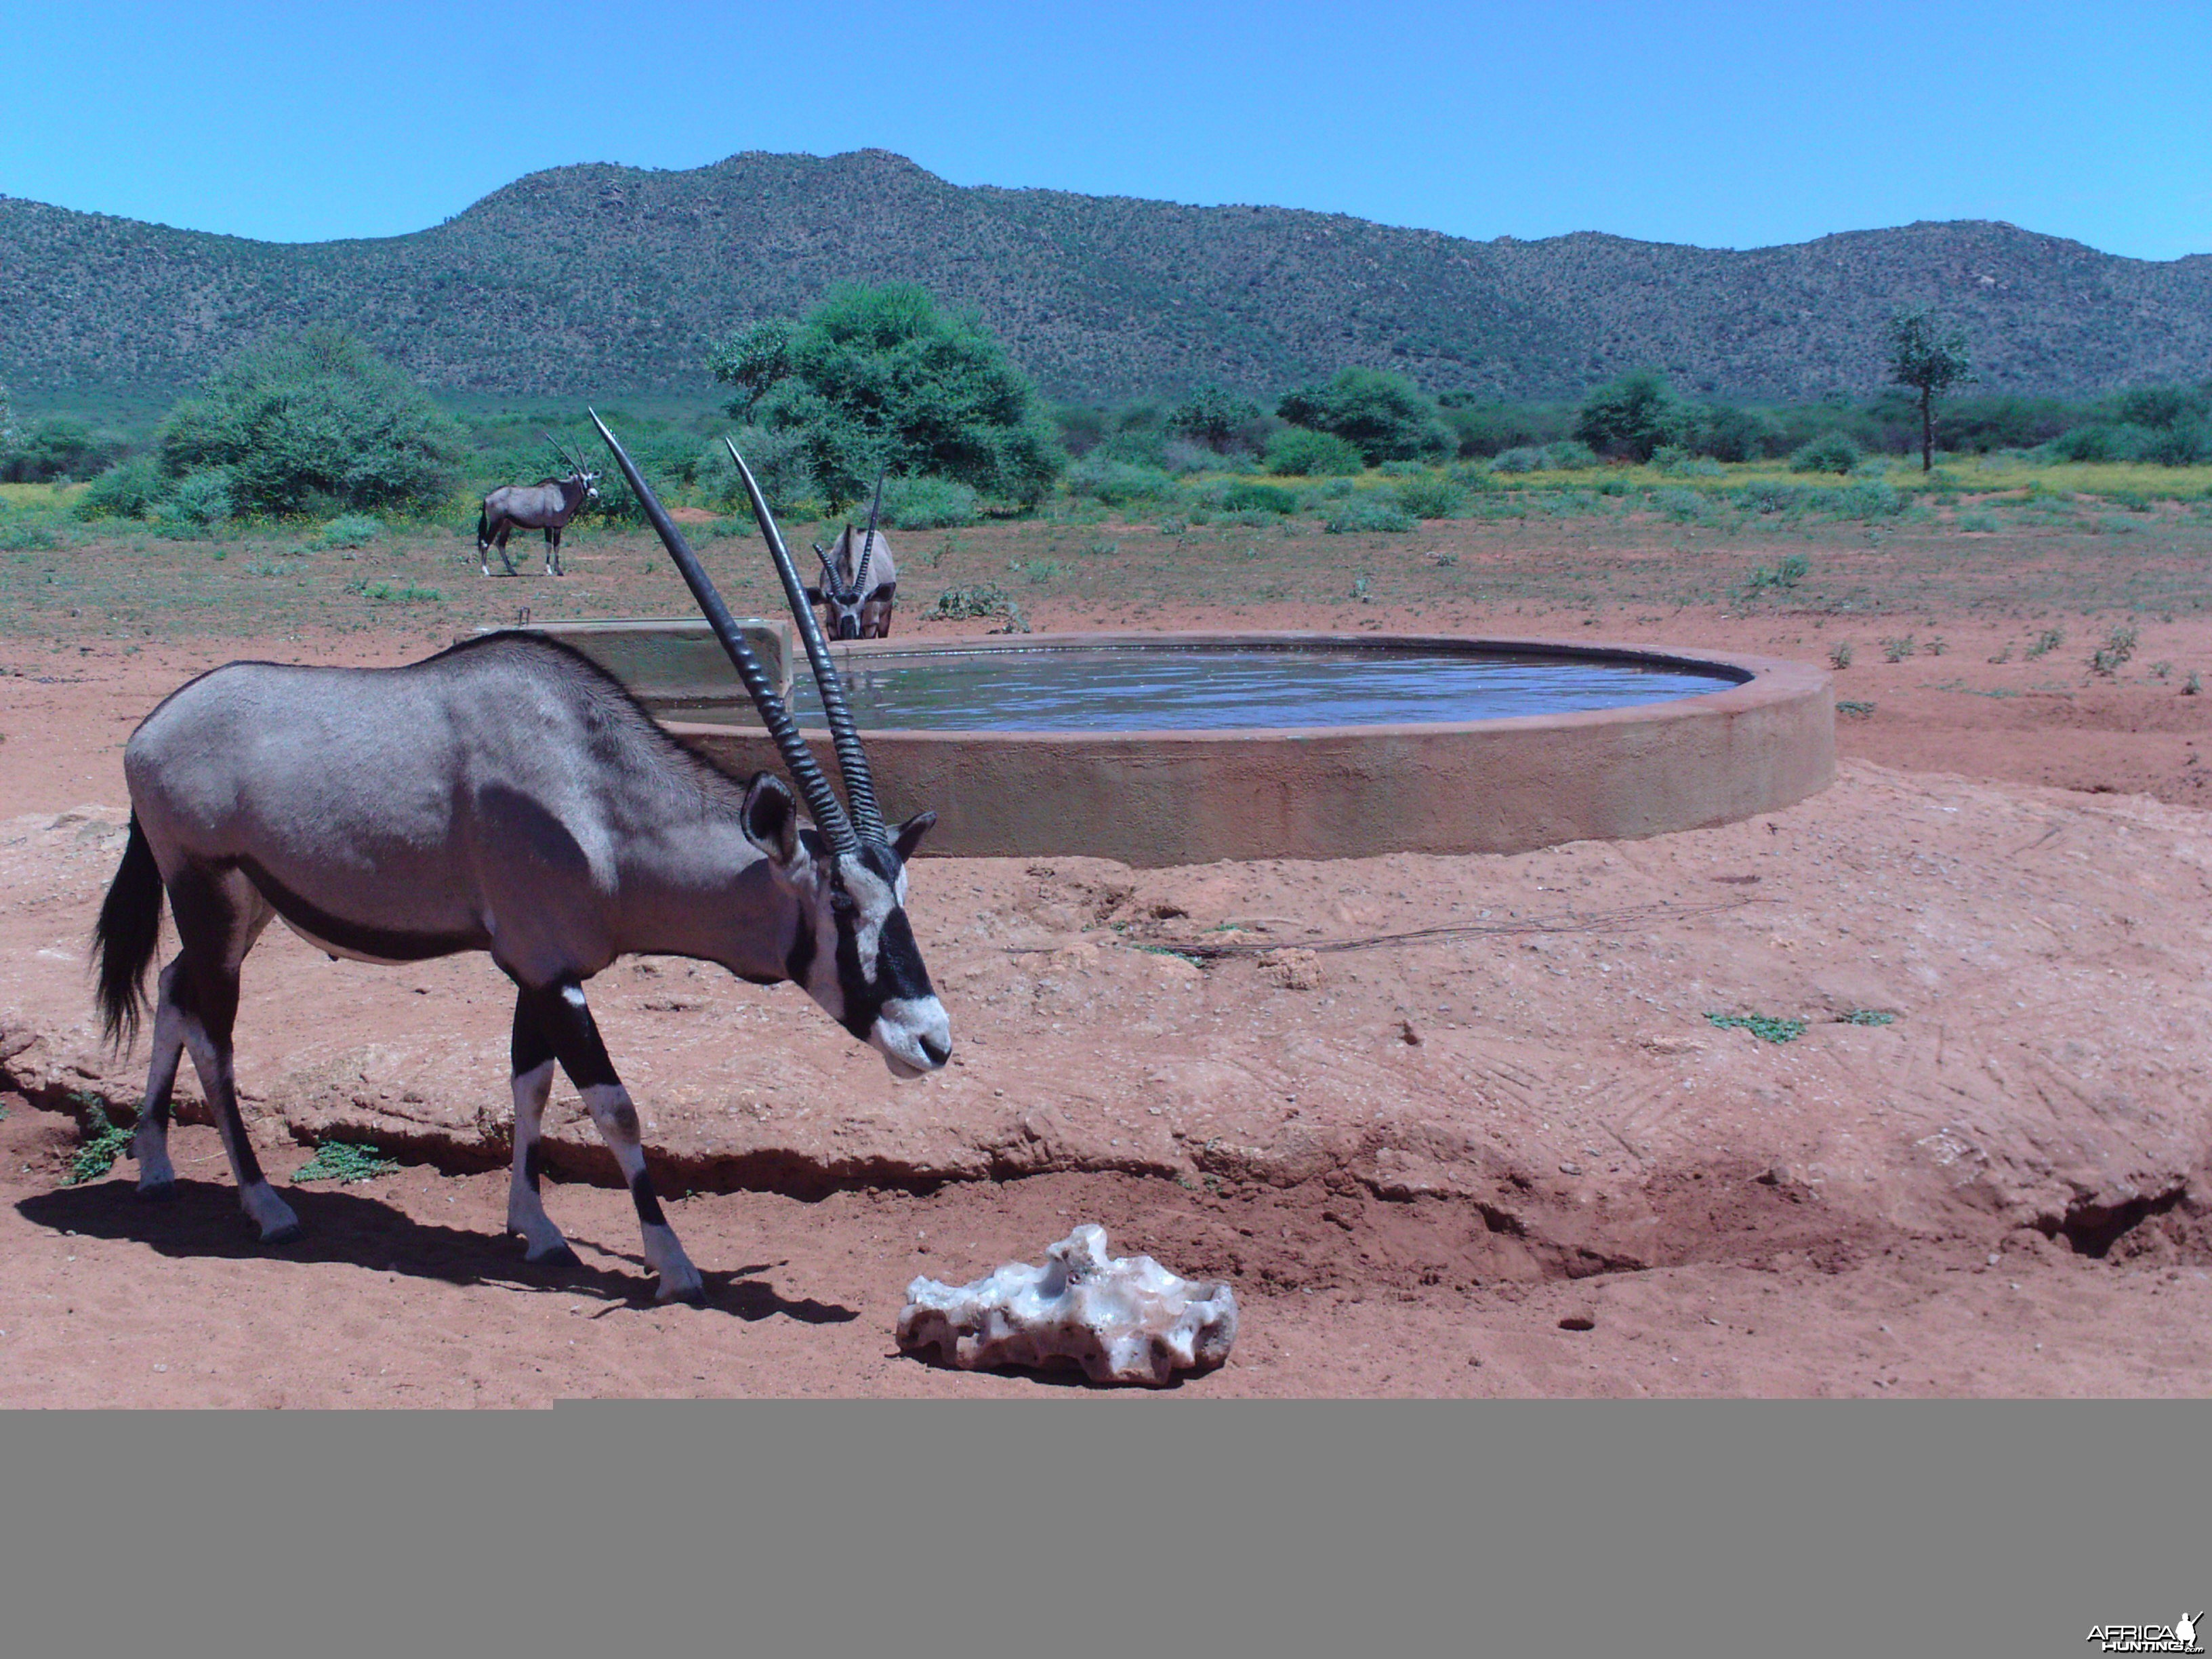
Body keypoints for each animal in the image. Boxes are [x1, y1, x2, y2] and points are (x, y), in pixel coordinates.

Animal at [475, 436, 597, 579]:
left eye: (591, 479)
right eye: (581, 480)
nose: (593, 493)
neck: (562, 493)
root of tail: (488, 497)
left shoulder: (558, 527)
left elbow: (557, 546)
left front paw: (559, 570)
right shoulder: (548, 526)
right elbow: (548, 546)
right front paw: (549, 570)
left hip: (507, 524)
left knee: (501, 544)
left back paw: (512, 570)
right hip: (496, 522)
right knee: (486, 542)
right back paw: (485, 571)